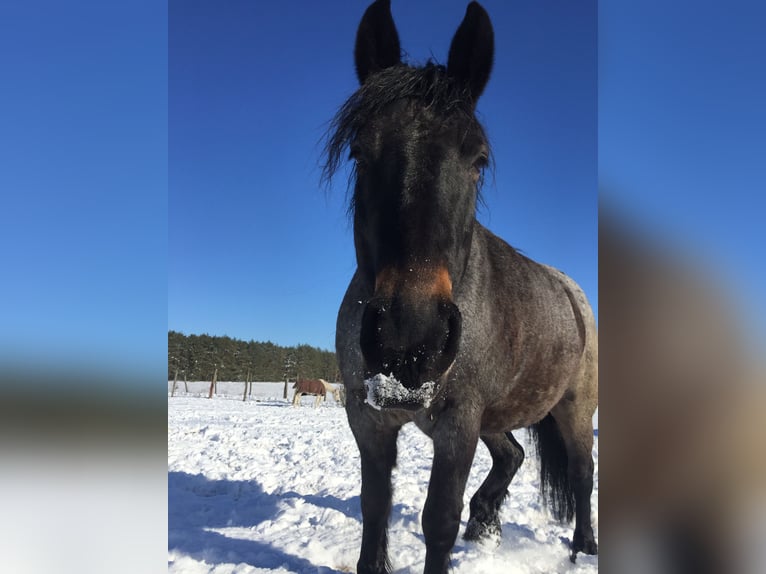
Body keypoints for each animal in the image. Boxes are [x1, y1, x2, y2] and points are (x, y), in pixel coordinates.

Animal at [326, 2, 600, 572]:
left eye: (478, 160)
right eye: (359, 152)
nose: (409, 337)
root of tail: (572, 293)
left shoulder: (458, 426)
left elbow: (438, 522)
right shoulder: (368, 421)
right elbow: (374, 510)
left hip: (572, 410)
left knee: (582, 475)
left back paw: (582, 547)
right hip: (495, 417)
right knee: (513, 455)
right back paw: (486, 522)